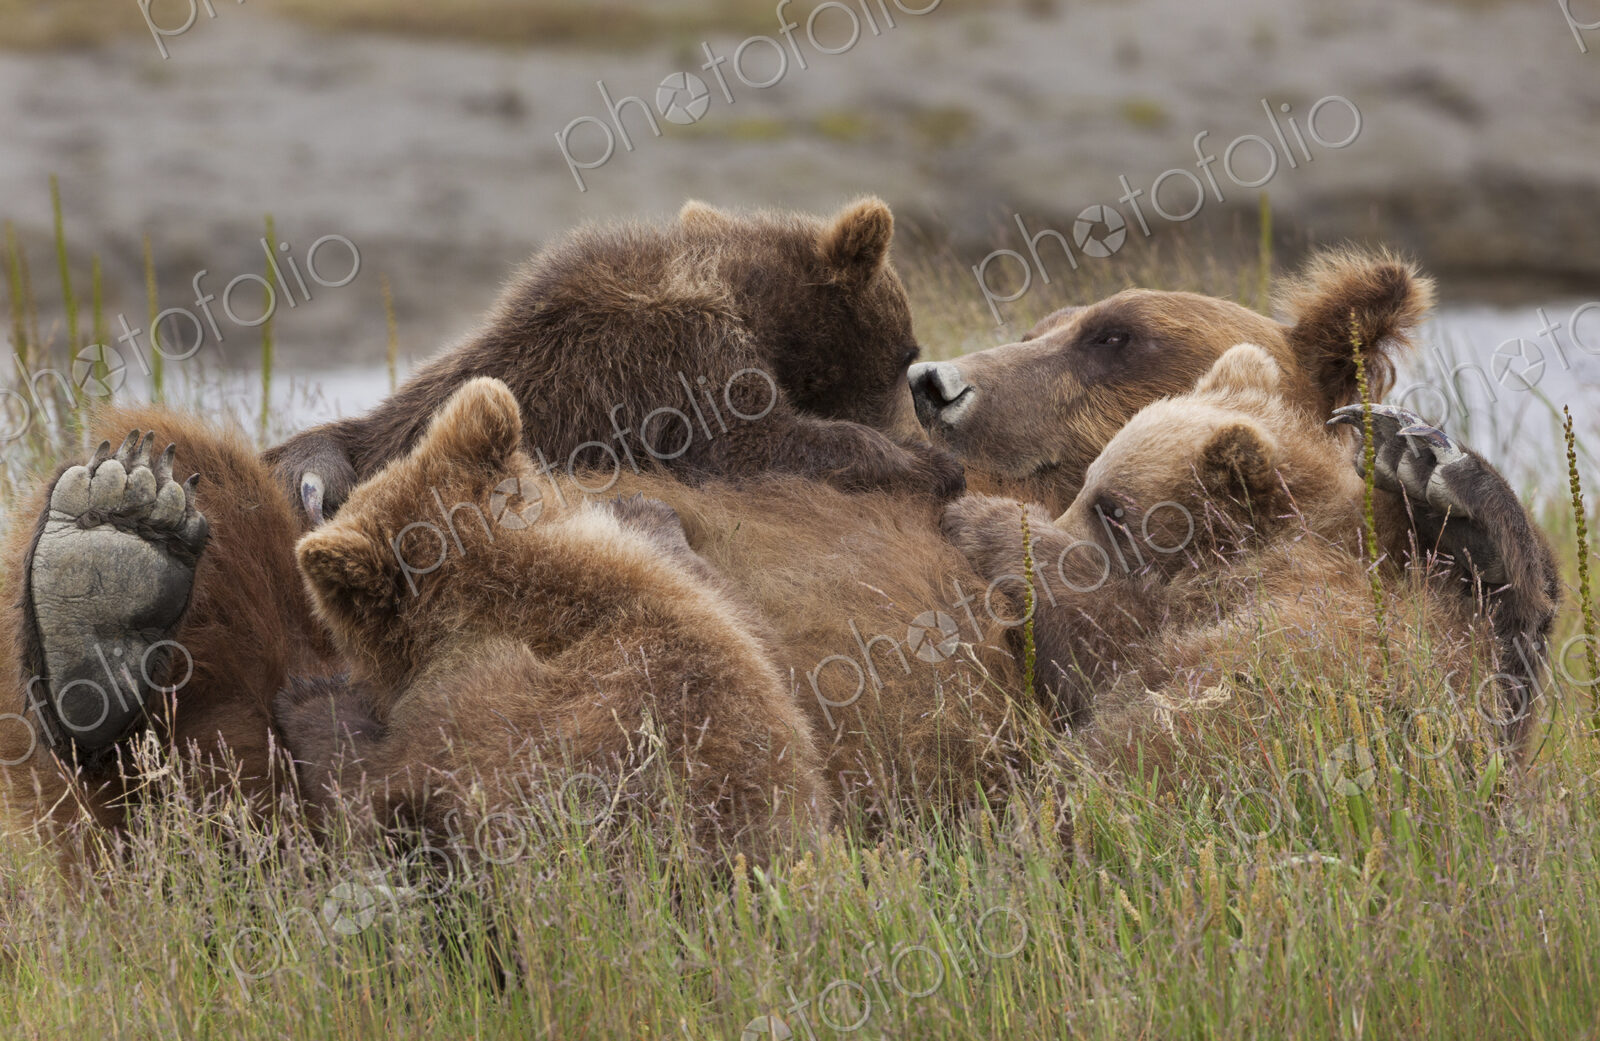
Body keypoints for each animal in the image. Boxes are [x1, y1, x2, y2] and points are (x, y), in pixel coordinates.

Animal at [939, 342, 1505, 774]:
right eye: (1087, 480)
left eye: (1113, 508)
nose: (1060, 519)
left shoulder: (1268, 601)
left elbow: (1105, 646)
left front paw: (986, 518)